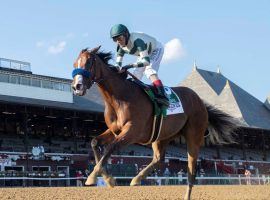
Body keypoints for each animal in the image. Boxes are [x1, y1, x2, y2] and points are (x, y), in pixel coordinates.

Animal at [70, 46, 237, 199]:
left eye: (89, 62)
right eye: (74, 63)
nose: (76, 86)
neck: (120, 97)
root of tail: (200, 101)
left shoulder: (132, 131)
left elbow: (110, 147)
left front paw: (93, 177)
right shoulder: (114, 130)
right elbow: (95, 143)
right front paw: (108, 178)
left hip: (194, 136)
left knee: (191, 170)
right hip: (162, 136)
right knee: (158, 158)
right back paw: (137, 179)